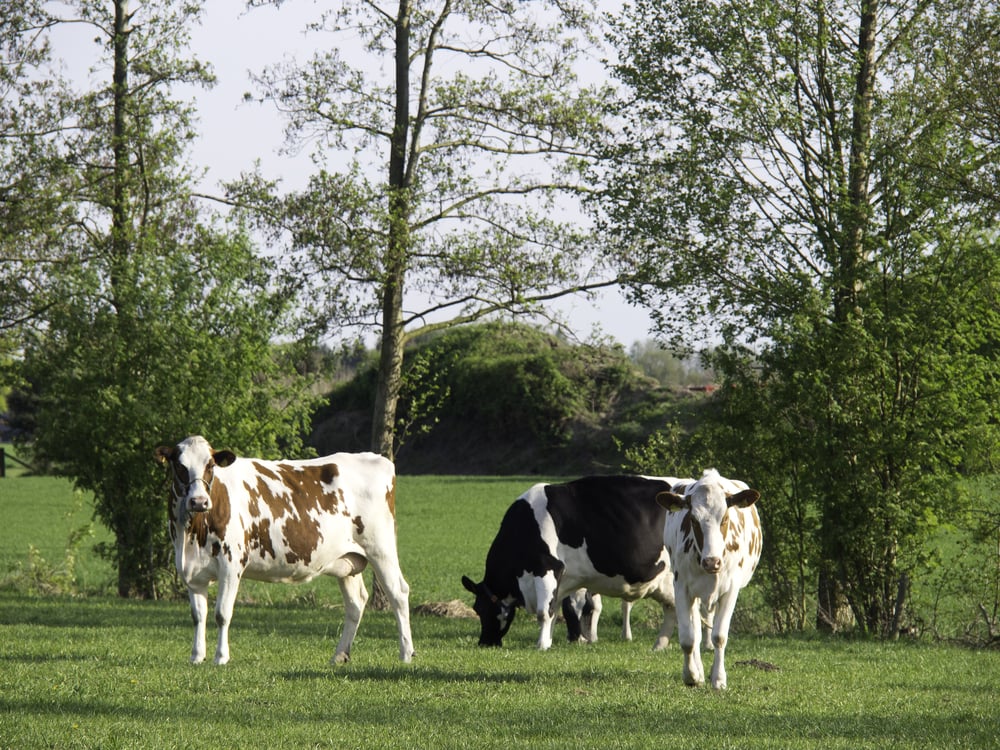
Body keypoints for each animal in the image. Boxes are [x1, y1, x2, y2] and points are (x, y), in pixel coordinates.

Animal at [154, 435, 414, 666]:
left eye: (210, 465)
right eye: (180, 466)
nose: (199, 501)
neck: (192, 534)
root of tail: (374, 458)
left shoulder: (231, 564)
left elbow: (222, 613)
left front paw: (221, 657)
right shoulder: (191, 571)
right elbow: (198, 615)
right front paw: (197, 657)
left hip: (380, 548)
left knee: (398, 593)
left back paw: (406, 654)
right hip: (348, 561)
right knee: (356, 602)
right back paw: (340, 655)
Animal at [461, 475, 679, 651]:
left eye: (479, 609)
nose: (484, 642)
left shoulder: (547, 568)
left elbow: (544, 612)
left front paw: (541, 645)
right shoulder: (564, 580)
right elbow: (557, 608)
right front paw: (549, 641)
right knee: (671, 609)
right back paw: (659, 646)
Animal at [656, 469, 762, 690]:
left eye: (725, 518)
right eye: (693, 520)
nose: (712, 562)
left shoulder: (731, 590)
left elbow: (719, 636)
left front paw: (719, 679)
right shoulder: (681, 587)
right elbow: (688, 637)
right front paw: (691, 676)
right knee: (696, 630)